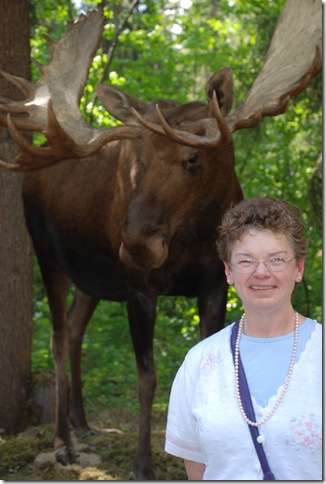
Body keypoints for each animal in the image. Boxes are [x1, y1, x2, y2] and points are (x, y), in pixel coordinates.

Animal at [0, 0, 320, 478]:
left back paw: (83, 423)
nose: (135, 244)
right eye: (136, 158)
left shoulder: (214, 286)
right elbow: (146, 378)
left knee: (74, 331)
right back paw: (63, 442)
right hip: (48, 256)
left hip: (93, 279)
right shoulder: (138, 287)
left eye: (194, 158)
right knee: (56, 339)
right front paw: (143, 464)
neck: (194, 240)